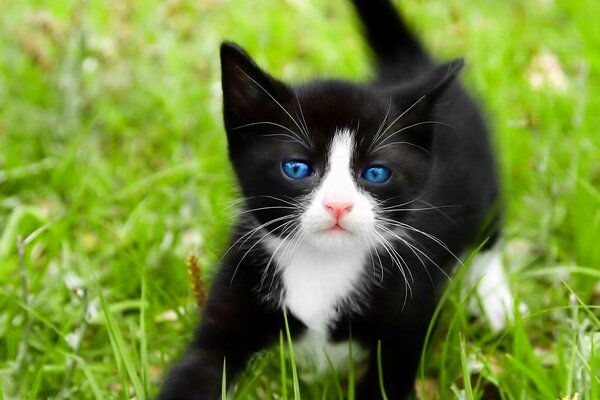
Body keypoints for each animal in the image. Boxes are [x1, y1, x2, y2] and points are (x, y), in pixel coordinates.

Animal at [158, 0, 510, 400]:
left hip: (484, 180)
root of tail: (409, 66)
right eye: (296, 168)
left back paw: (494, 299)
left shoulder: (408, 313)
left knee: (489, 234)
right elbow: (200, 365)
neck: (322, 264)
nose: (338, 205)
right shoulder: (237, 286)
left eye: (376, 173)